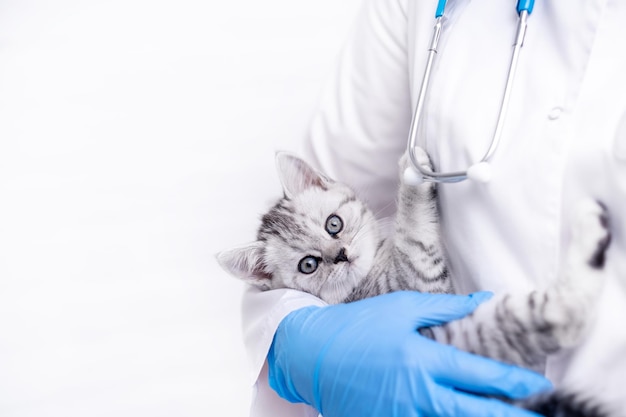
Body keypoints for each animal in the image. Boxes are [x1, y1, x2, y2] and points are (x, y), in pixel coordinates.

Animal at [218, 148, 608, 414]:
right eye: (309, 265)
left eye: (333, 224)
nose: (340, 254)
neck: (374, 268)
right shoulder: (418, 280)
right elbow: (413, 231)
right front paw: (411, 175)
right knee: (563, 314)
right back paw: (590, 229)